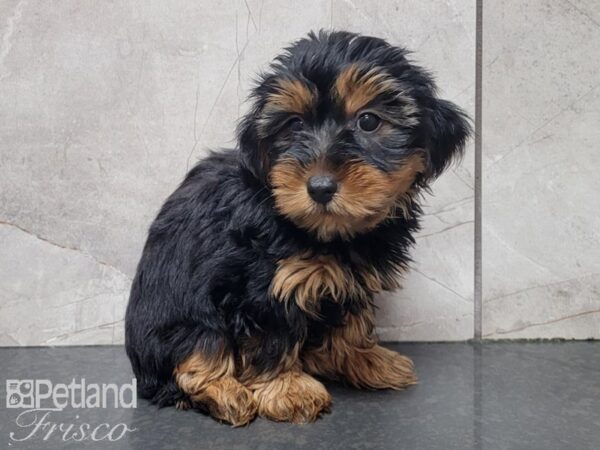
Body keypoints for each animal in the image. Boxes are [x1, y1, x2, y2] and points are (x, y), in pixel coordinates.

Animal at [126, 31, 472, 426]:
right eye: (293, 125)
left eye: (369, 121)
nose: (319, 187)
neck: (328, 232)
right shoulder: (264, 285)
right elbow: (273, 336)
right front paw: (289, 390)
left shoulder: (351, 278)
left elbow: (352, 321)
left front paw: (363, 358)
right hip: (187, 321)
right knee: (197, 355)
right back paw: (225, 392)